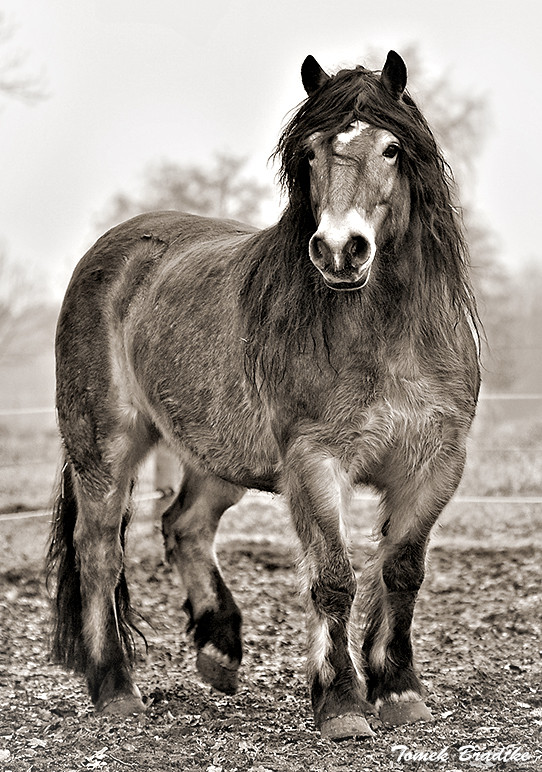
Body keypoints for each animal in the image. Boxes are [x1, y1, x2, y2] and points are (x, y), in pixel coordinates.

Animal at [45, 51, 480, 740]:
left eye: (391, 149)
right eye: (310, 153)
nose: (339, 250)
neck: (389, 337)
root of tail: (112, 251)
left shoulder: (436, 464)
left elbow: (402, 571)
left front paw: (399, 690)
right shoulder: (314, 463)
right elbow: (333, 577)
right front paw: (342, 703)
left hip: (218, 455)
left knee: (185, 525)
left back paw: (219, 650)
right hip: (106, 444)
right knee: (98, 553)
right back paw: (115, 688)